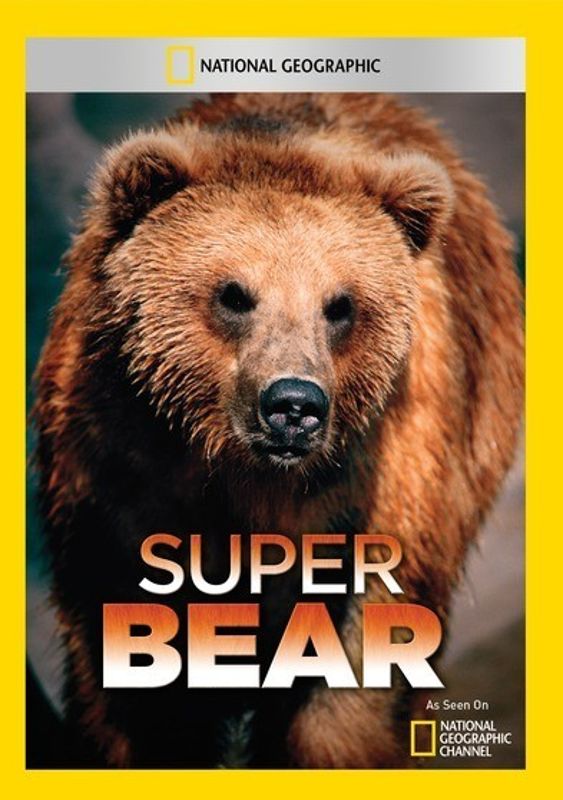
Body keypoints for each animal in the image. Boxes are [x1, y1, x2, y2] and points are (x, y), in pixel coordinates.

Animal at [33, 92, 523, 769]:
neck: (244, 476)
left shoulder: (380, 487)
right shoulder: (117, 473)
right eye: (234, 293)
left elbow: (350, 685)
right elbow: (136, 685)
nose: (294, 404)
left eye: (340, 304)